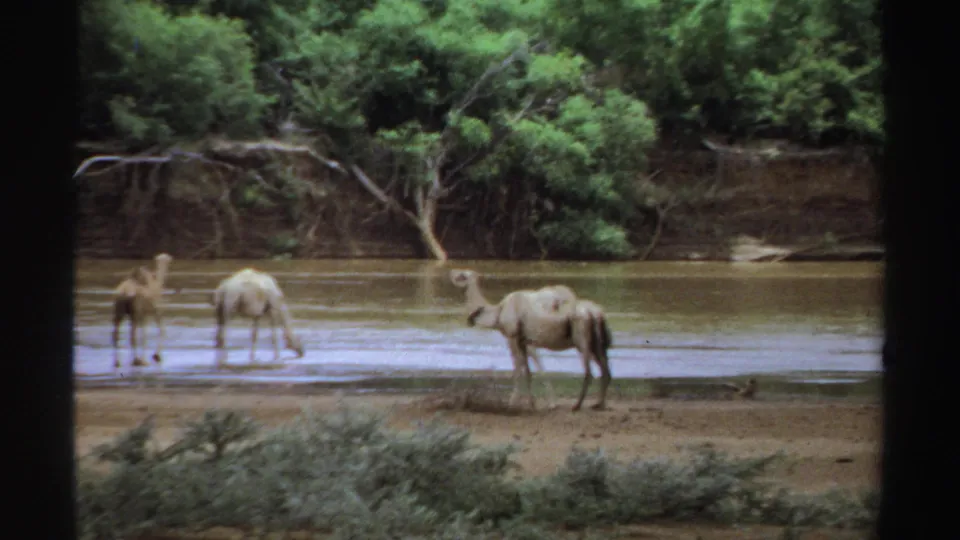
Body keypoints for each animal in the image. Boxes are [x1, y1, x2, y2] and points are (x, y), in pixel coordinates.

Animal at [449, 269, 613, 411]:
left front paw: (511, 403)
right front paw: (531, 404)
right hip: (596, 343)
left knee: (589, 372)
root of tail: (596, 313)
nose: (451, 272)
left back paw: (577, 406)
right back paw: (599, 404)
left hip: (581, 338)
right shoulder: (523, 341)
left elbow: (517, 370)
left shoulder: (513, 337)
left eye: (462, 275)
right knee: (605, 370)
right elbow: (528, 372)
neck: (498, 312)